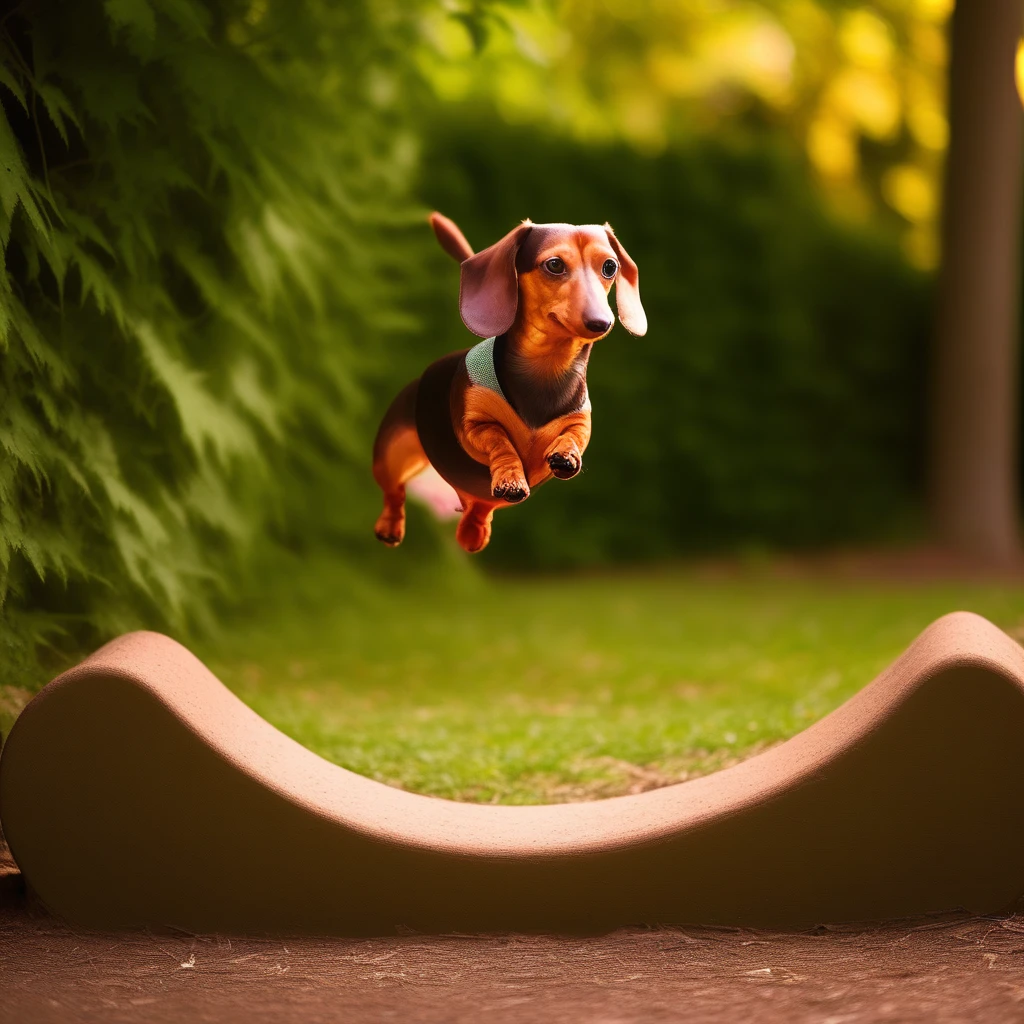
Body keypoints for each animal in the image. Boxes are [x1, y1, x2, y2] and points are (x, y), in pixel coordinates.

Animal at [374, 210, 647, 557]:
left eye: (610, 267)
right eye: (554, 264)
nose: (602, 322)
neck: (546, 370)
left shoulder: (580, 419)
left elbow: (575, 434)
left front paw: (566, 455)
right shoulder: (475, 425)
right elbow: (499, 439)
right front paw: (510, 474)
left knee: (481, 507)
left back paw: (472, 532)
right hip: (392, 453)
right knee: (394, 491)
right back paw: (390, 527)